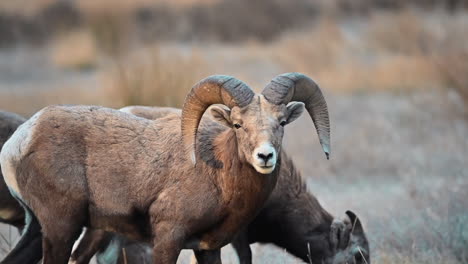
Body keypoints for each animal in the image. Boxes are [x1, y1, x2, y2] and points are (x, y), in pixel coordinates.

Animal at [0, 72, 330, 264]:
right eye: (237, 124)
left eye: (282, 123)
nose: (265, 156)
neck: (217, 175)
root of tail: (18, 142)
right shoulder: (168, 239)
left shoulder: (208, 248)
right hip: (61, 229)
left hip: (39, 229)